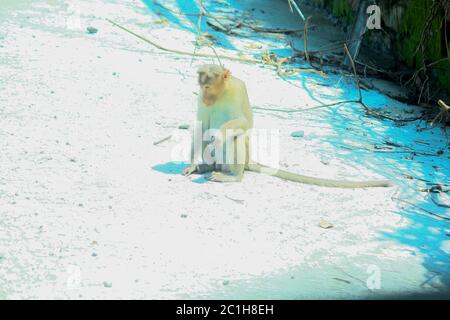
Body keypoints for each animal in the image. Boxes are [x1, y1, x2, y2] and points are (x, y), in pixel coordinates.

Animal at [181, 64, 392, 189]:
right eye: (202, 87)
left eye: (208, 86)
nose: (205, 96)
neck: (222, 93)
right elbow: (202, 127)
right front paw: (192, 164)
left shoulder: (239, 89)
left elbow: (245, 123)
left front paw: (219, 135)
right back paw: (204, 167)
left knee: (237, 137)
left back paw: (233, 176)